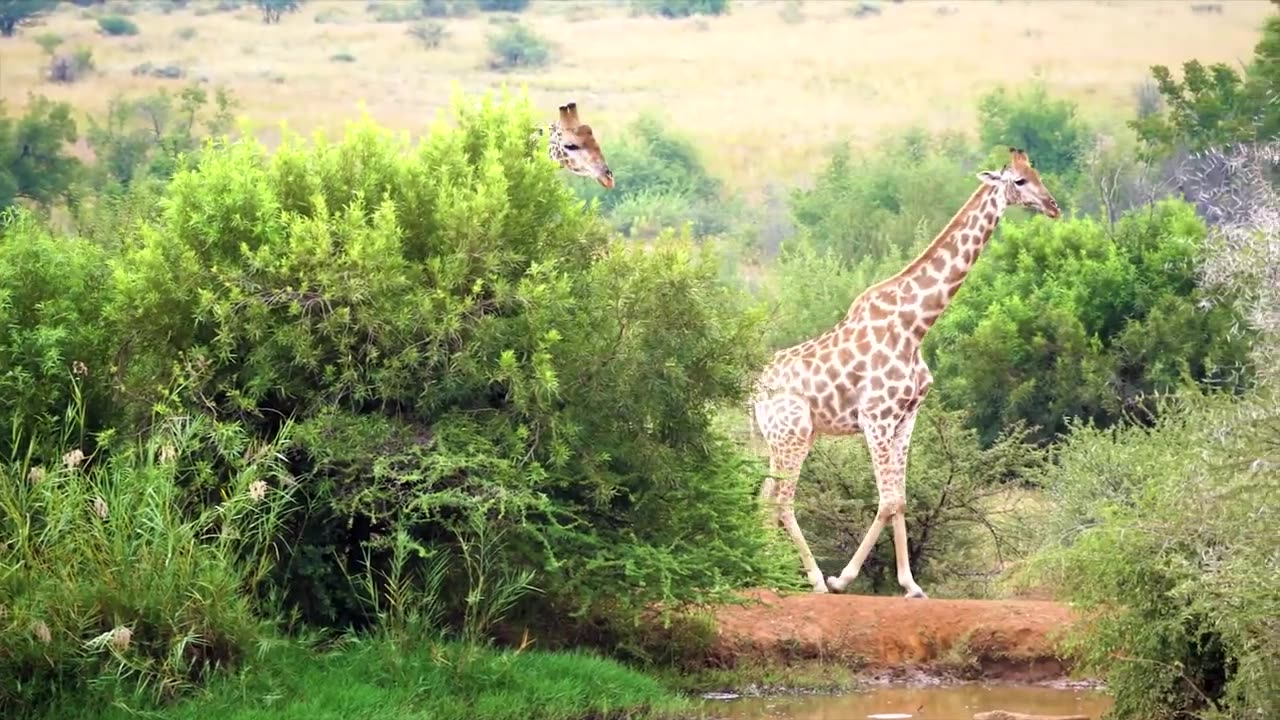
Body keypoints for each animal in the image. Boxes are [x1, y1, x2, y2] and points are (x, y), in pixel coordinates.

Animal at [747, 146, 1059, 594]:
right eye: (1018, 181)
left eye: (1037, 174)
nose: (1053, 206)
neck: (916, 326)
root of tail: (753, 392)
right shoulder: (875, 417)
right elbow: (889, 498)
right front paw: (844, 578)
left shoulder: (906, 417)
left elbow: (900, 499)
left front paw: (911, 584)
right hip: (793, 433)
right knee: (782, 499)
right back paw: (814, 580)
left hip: (784, 438)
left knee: (765, 496)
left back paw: (763, 572)